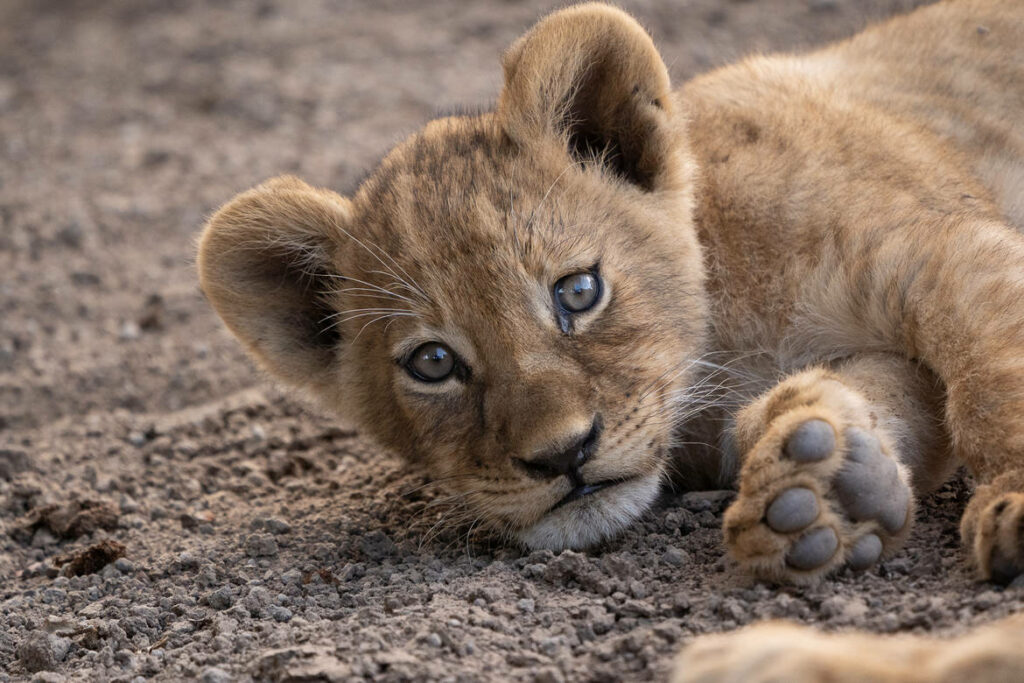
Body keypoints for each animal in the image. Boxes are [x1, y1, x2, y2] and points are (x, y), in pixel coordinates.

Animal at [197, 0, 1024, 679]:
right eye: (432, 362)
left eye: (578, 292)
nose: (563, 455)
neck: (728, 330)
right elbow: (897, 393)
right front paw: (823, 487)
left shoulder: (938, 249)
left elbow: (991, 375)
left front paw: (1010, 504)